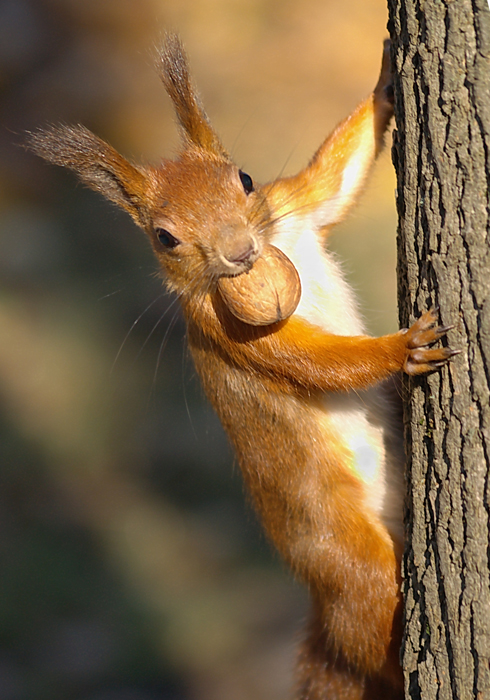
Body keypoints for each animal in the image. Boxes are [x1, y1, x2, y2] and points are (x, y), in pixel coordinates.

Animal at [28, 37, 456, 700]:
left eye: (246, 180)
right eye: (164, 238)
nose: (239, 252)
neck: (273, 252)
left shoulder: (293, 206)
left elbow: (333, 178)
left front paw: (387, 78)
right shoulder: (227, 330)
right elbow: (311, 361)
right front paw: (401, 349)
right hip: (349, 560)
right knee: (368, 620)